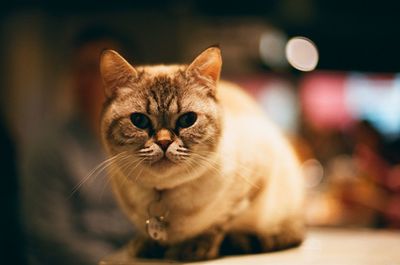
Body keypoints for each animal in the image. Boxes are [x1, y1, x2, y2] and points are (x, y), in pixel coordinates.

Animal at [98, 46, 304, 260]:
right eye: (139, 120)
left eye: (188, 119)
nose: (164, 142)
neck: (162, 193)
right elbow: (147, 233)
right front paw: (148, 245)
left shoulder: (251, 185)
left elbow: (216, 225)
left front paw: (192, 248)